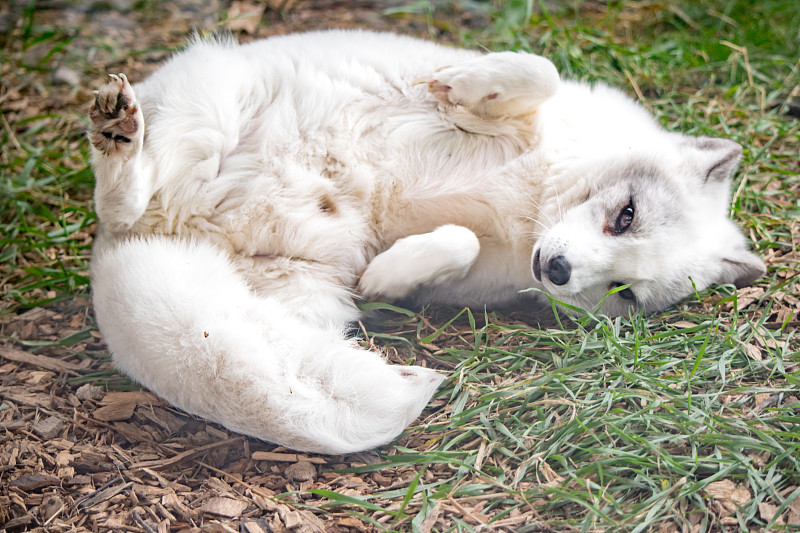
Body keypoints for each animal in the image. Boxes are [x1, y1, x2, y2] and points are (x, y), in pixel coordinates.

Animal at [86, 30, 764, 454]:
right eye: (626, 215)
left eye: (623, 292)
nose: (558, 270)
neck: (533, 203)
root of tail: (161, 234)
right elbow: (538, 72)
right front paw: (460, 82)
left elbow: (458, 242)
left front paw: (389, 275)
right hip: (207, 102)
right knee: (124, 192)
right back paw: (120, 135)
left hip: (308, 298)